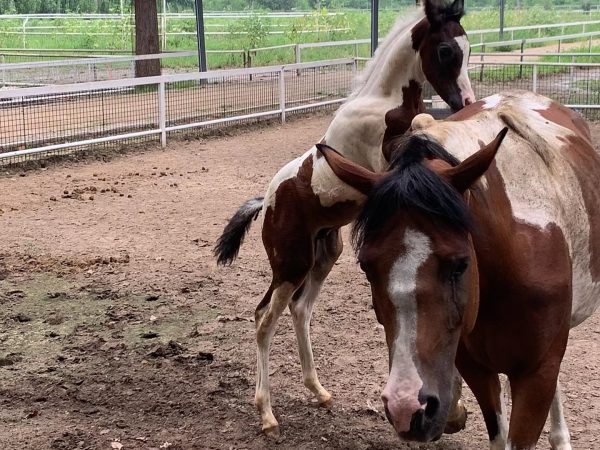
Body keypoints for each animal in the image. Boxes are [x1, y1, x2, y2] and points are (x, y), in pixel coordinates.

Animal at [213, 0, 476, 436]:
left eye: (467, 48)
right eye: (444, 51)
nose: (466, 102)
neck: (384, 102)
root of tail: (266, 203)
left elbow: (427, 129)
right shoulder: (383, 161)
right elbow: (420, 132)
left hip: (322, 256)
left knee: (300, 310)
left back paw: (318, 391)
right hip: (290, 263)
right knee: (264, 318)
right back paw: (267, 414)